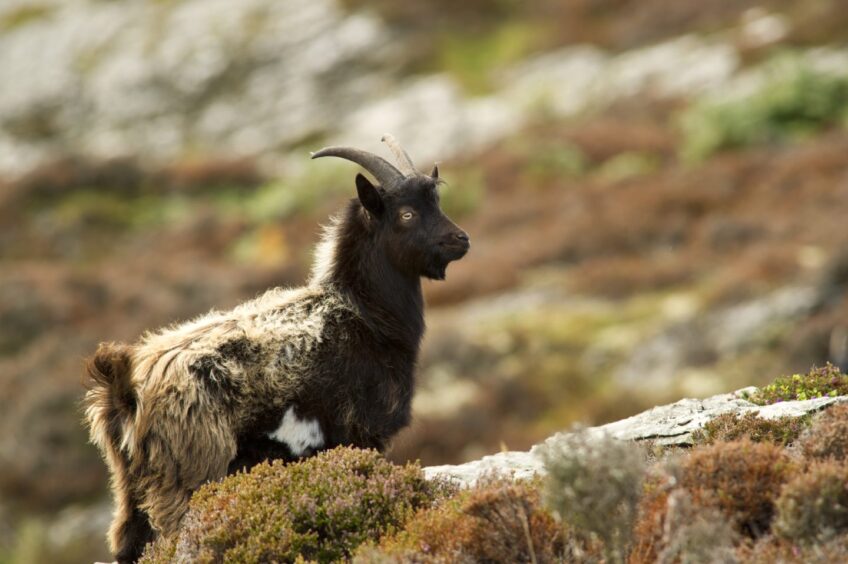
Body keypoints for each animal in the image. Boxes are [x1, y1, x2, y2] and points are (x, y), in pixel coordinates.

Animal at [83, 134, 470, 560]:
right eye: (407, 214)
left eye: (436, 202)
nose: (461, 240)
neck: (362, 313)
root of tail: (124, 390)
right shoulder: (361, 433)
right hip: (190, 476)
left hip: (131, 488)